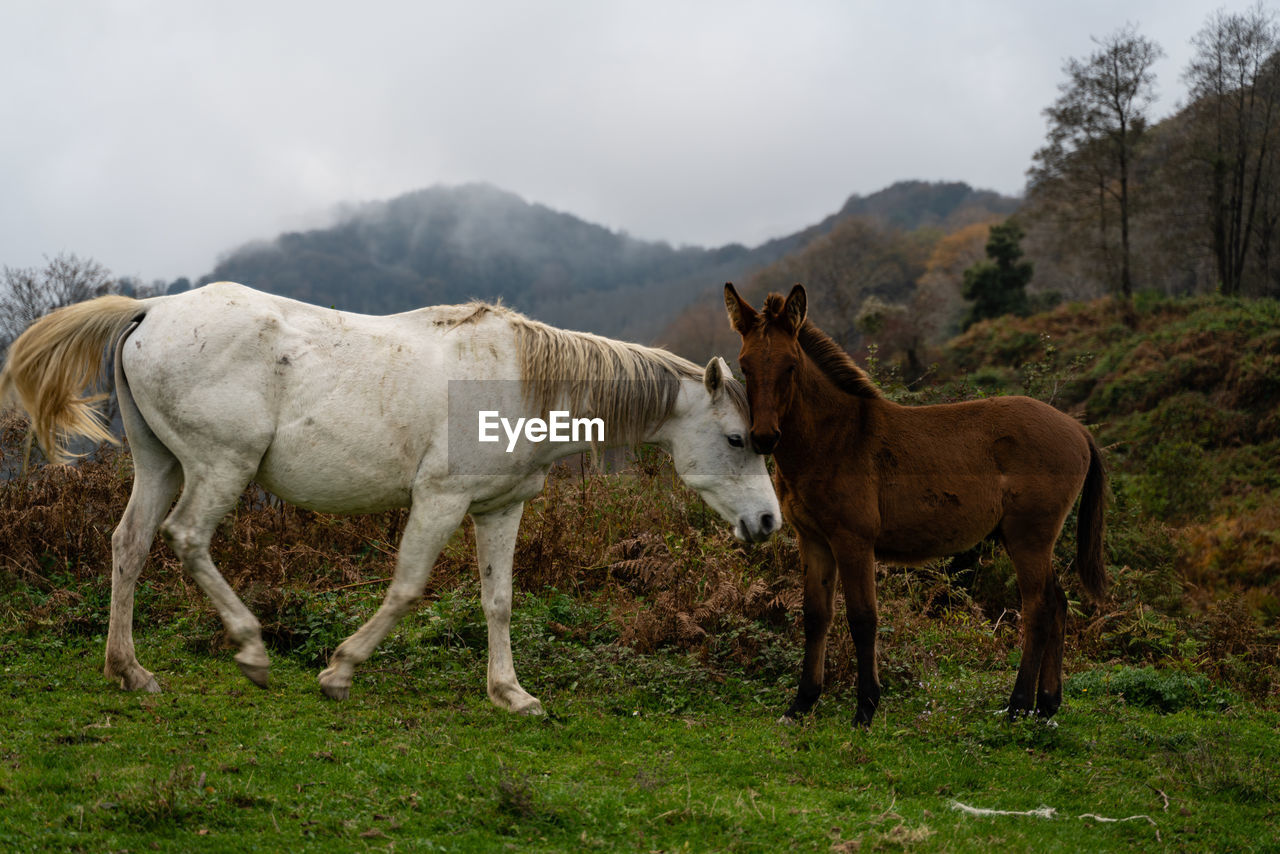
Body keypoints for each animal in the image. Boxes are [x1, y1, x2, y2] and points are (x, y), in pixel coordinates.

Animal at [0, 282, 780, 714]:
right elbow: (407, 587)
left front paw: (511, 694)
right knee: (187, 539)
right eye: (738, 439)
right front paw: (340, 671)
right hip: (220, 466)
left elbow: (499, 600)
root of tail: (149, 311)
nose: (769, 522)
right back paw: (251, 649)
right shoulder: (440, 500)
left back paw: (129, 671)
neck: (523, 380)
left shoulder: (499, 508)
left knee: (128, 546)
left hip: (160, 464)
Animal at [723, 283, 1106, 725]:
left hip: (1029, 538)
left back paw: (1017, 705)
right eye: (745, 366)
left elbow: (863, 618)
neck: (836, 438)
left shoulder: (853, 541)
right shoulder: (814, 540)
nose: (764, 437)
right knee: (1058, 604)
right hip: (1028, 540)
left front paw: (865, 708)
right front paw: (802, 703)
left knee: (1039, 609)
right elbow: (816, 616)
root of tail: (1077, 428)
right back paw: (1046, 705)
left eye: (789, 365)